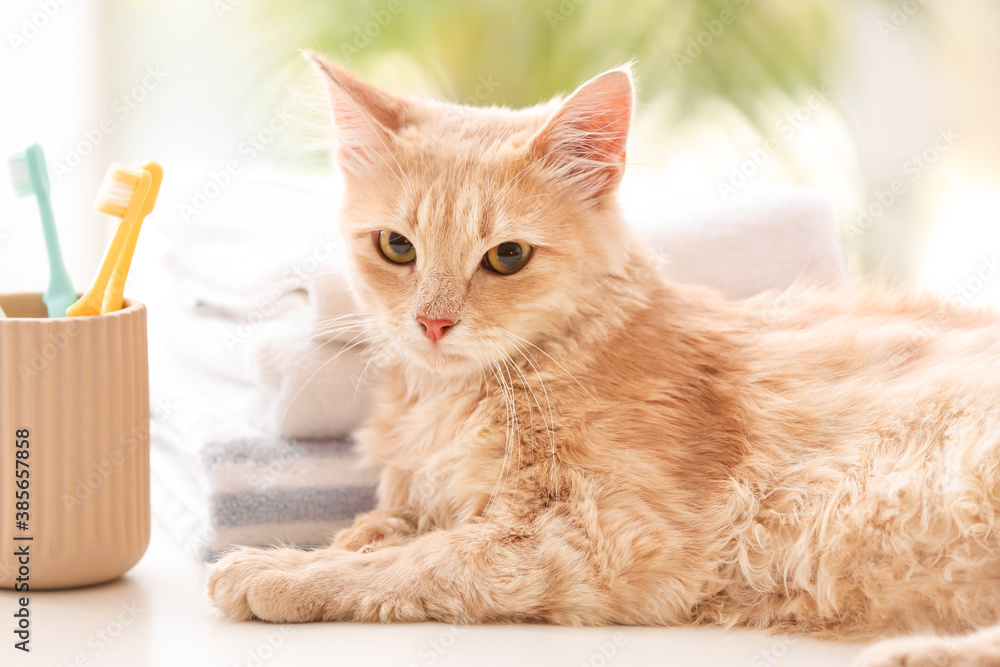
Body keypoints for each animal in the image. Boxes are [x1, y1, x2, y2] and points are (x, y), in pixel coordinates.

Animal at [209, 57, 1000, 667]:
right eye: (396, 247)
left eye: (507, 256)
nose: (433, 322)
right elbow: (398, 524)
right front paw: (360, 531)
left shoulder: (600, 541)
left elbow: (422, 559)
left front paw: (277, 569)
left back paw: (915, 651)